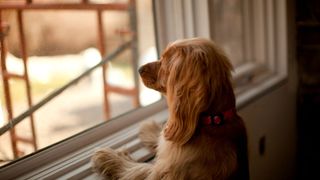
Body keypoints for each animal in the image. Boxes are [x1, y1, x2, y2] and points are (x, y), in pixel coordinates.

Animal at [91, 37, 249, 179]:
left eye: (166, 61)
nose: (139, 69)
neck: (212, 121)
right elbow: (162, 140)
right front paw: (150, 128)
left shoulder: (165, 172)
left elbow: (138, 169)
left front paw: (109, 157)